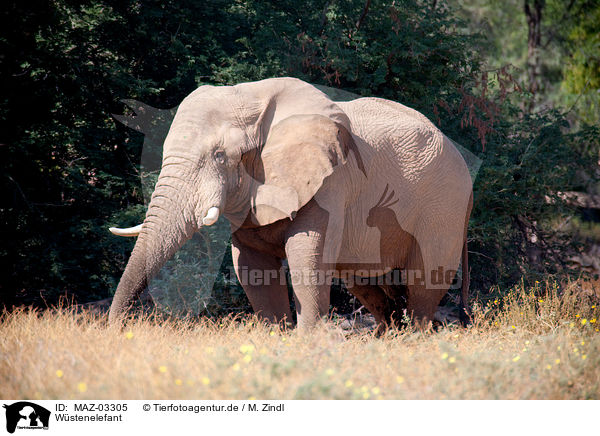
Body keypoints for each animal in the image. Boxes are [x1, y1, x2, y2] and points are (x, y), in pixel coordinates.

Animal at [109, 78, 474, 330]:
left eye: (220, 156)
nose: (117, 330)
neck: (252, 98)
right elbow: (250, 266)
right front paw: (278, 337)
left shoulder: (330, 181)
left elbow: (306, 257)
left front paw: (307, 341)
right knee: (367, 283)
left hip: (444, 207)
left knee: (424, 282)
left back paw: (414, 339)